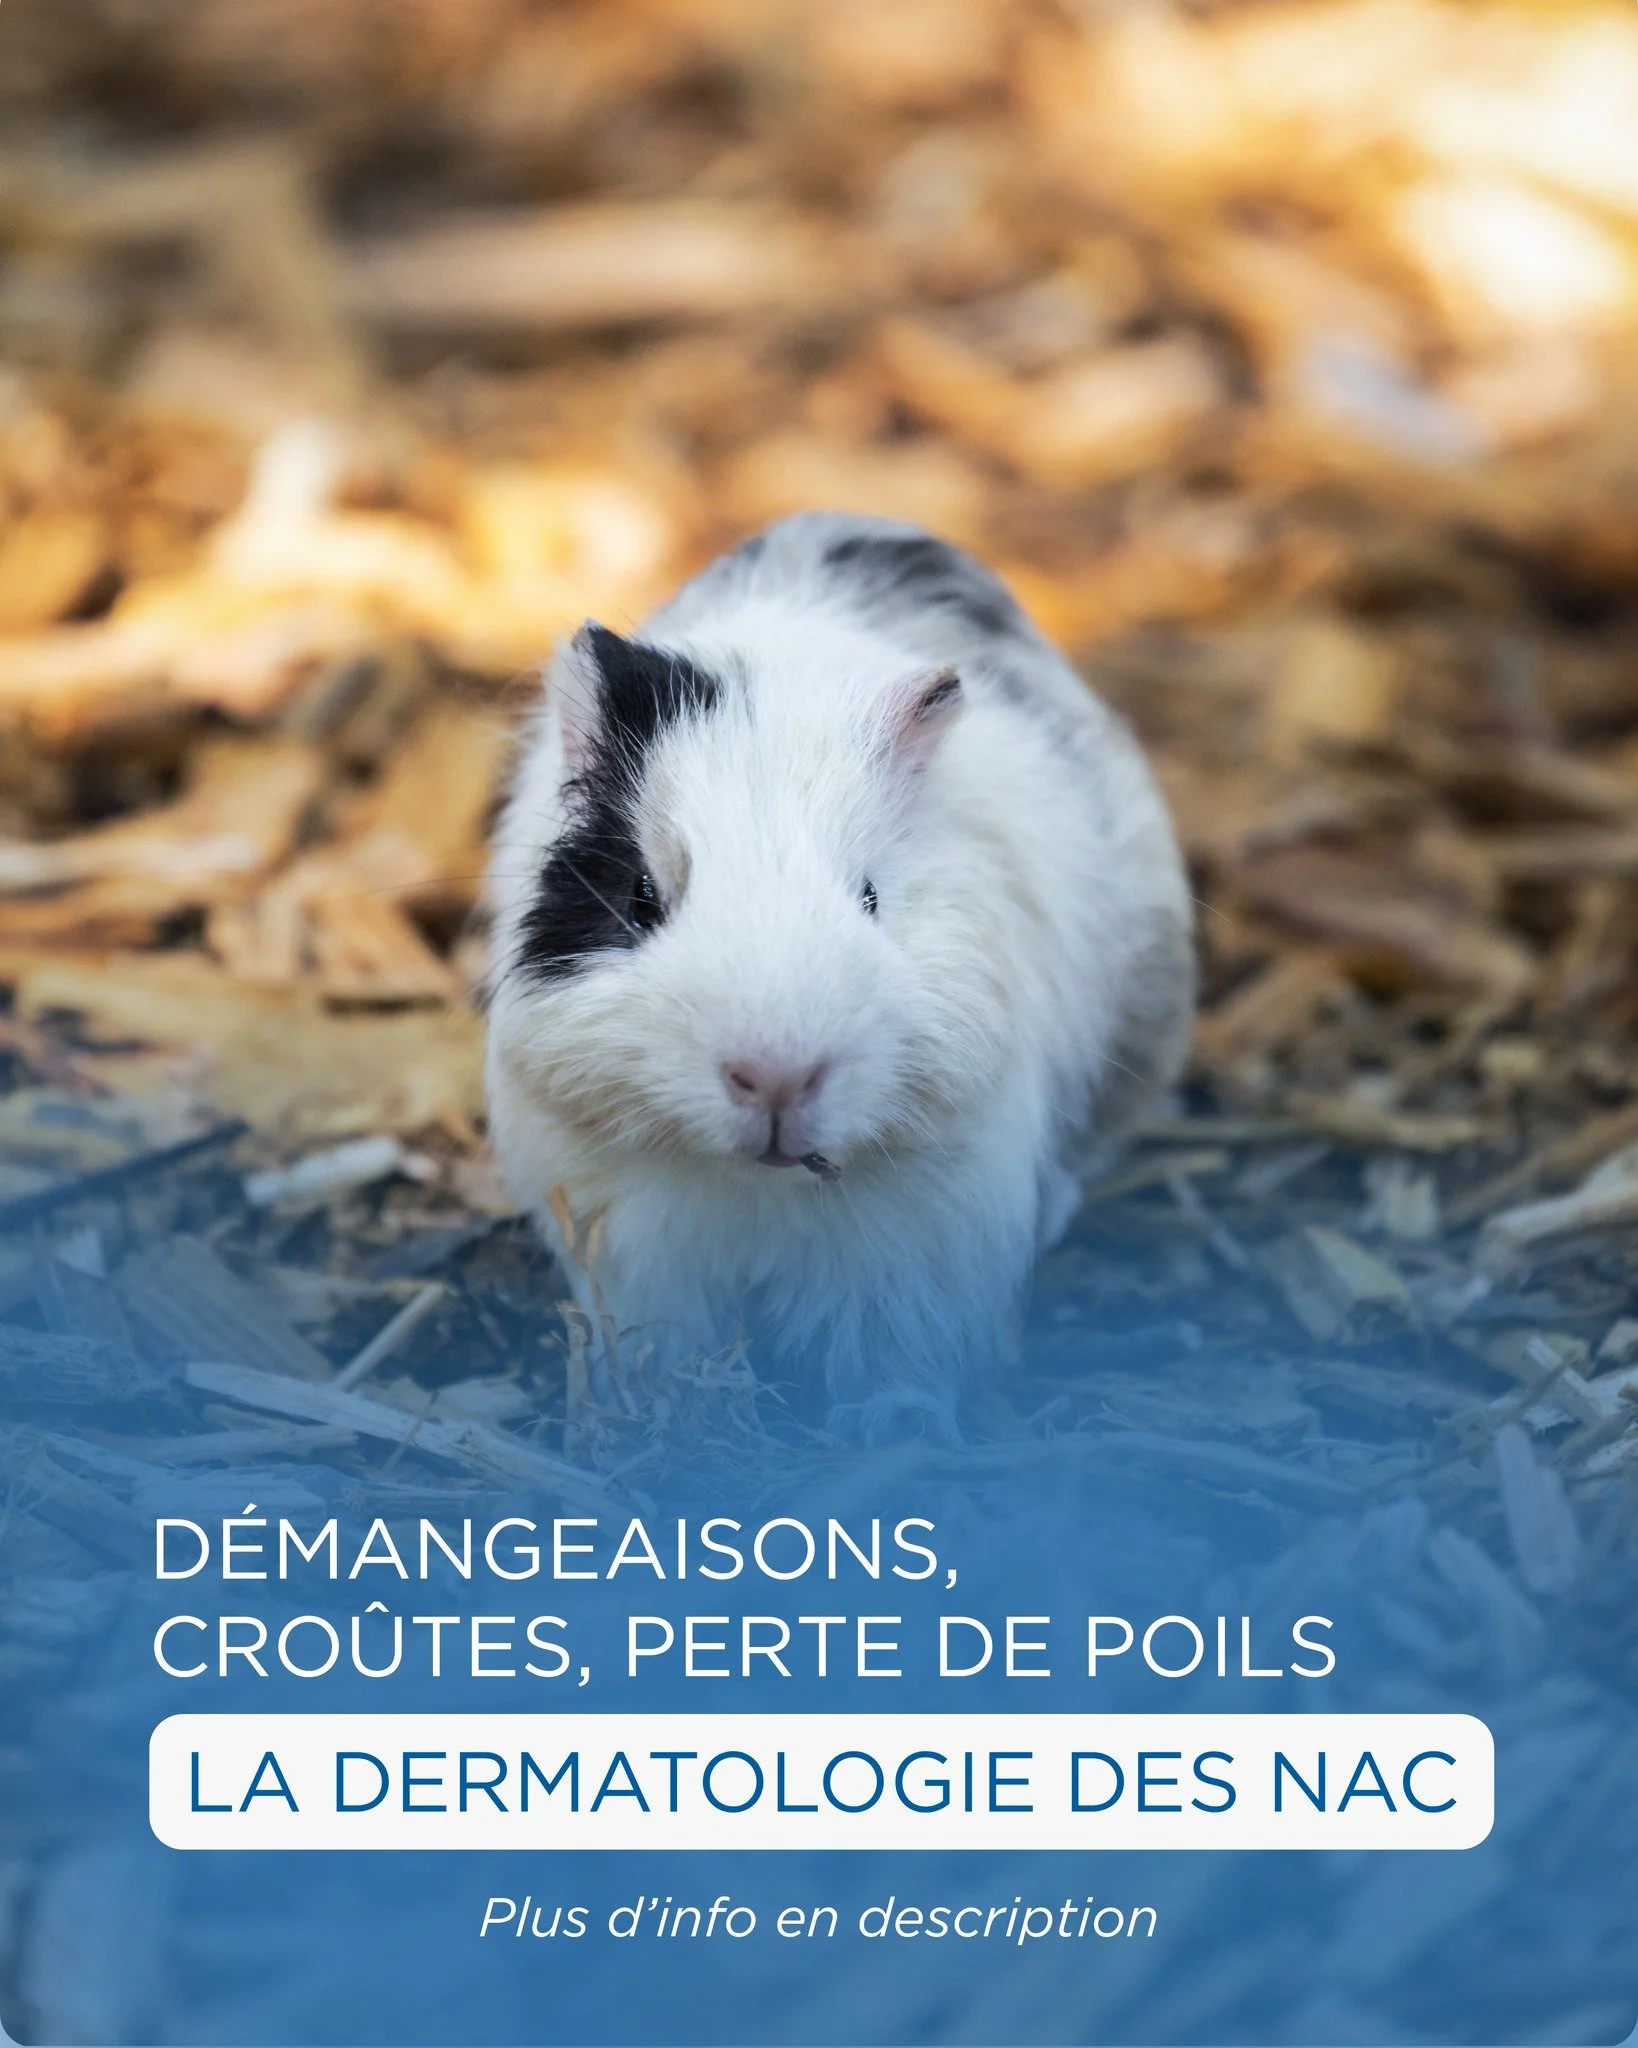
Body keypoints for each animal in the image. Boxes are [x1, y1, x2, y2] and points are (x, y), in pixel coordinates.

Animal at [485, 512, 1194, 1441]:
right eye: (641, 896)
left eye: (869, 896)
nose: (777, 1079)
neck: (762, 1189)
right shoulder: (638, 1244)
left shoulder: (920, 1249)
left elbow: (895, 1359)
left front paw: (886, 1429)